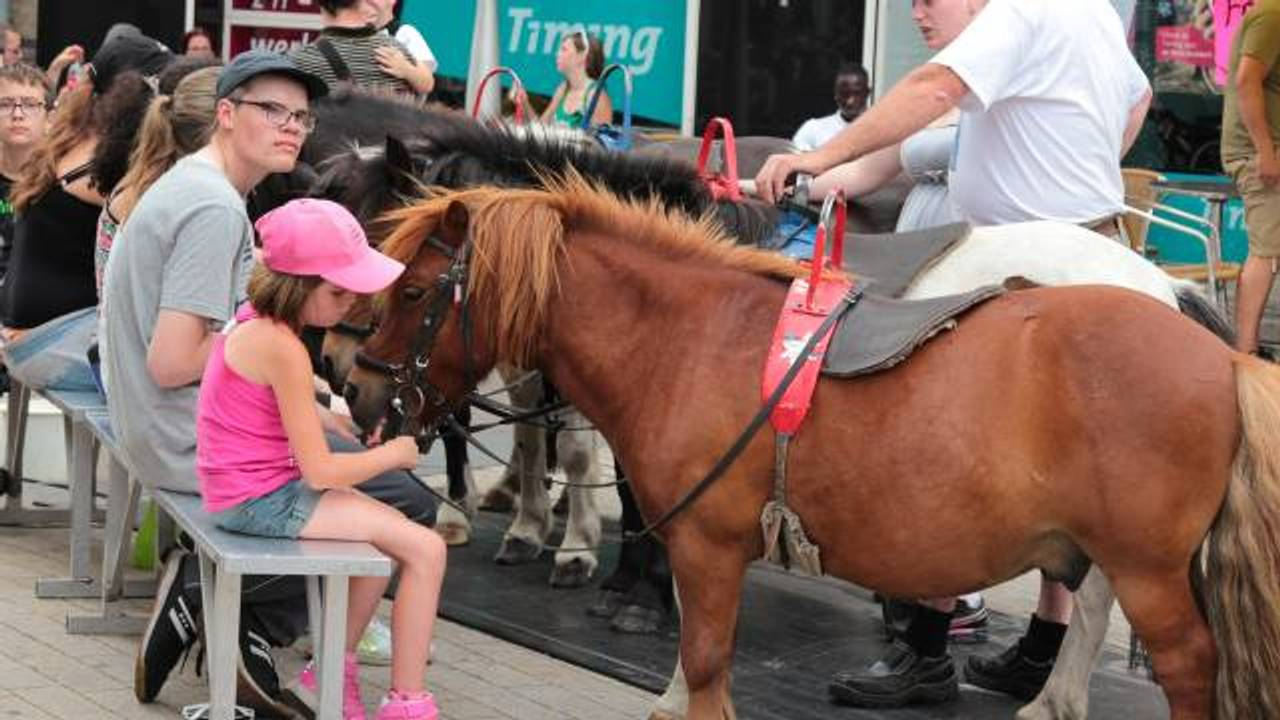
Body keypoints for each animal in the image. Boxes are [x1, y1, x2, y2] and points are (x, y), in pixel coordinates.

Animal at [345, 179, 1280, 717]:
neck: (692, 336)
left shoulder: (710, 544)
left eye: (417, 291)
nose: (358, 391)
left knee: (1176, 661)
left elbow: (707, 667)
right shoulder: (701, 548)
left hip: (1147, 573)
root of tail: (1222, 350)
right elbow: (694, 667)